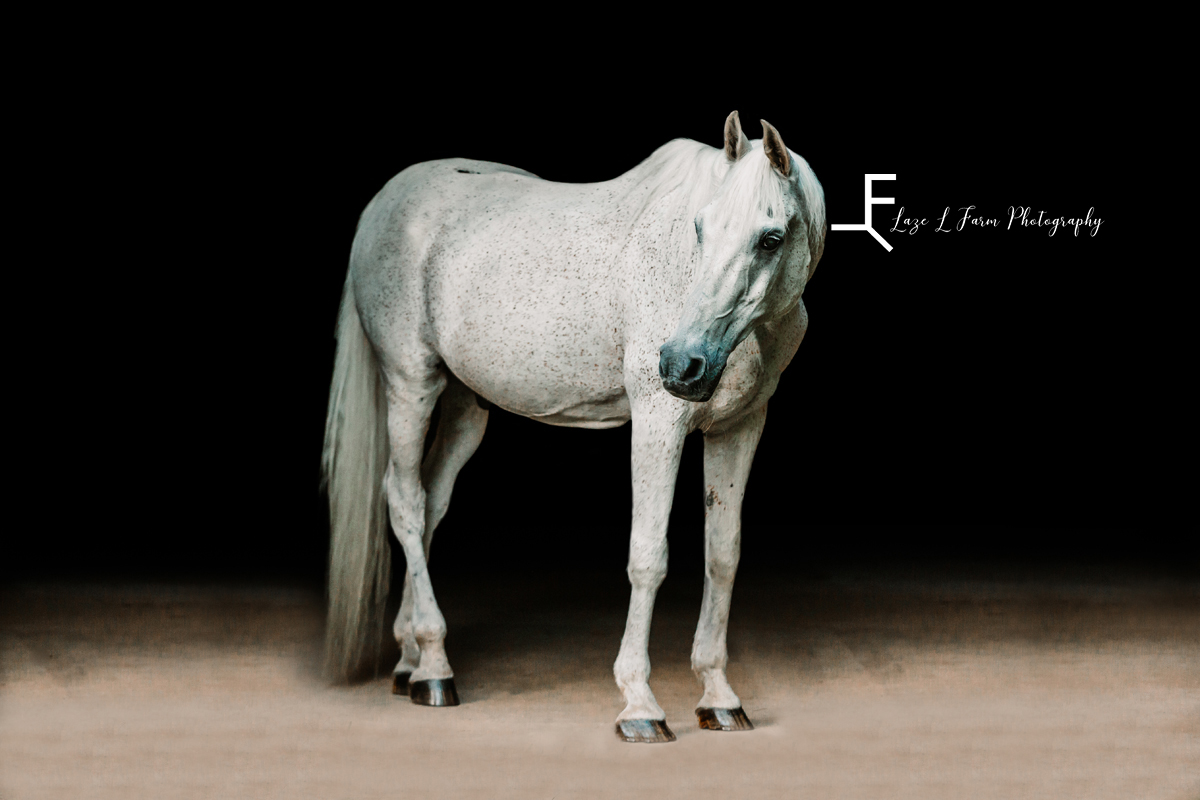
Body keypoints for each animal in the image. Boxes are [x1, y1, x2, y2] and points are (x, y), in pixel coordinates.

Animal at [319, 112, 825, 743]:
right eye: (700, 229)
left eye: (770, 239)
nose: (680, 364)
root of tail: (385, 201)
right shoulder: (658, 422)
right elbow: (648, 556)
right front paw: (639, 704)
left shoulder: (738, 428)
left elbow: (723, 555)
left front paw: (719, 697)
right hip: (411, 384)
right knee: (406, 502)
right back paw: (435, 668)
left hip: (465, 406)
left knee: (430, 501)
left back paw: (410, 662)